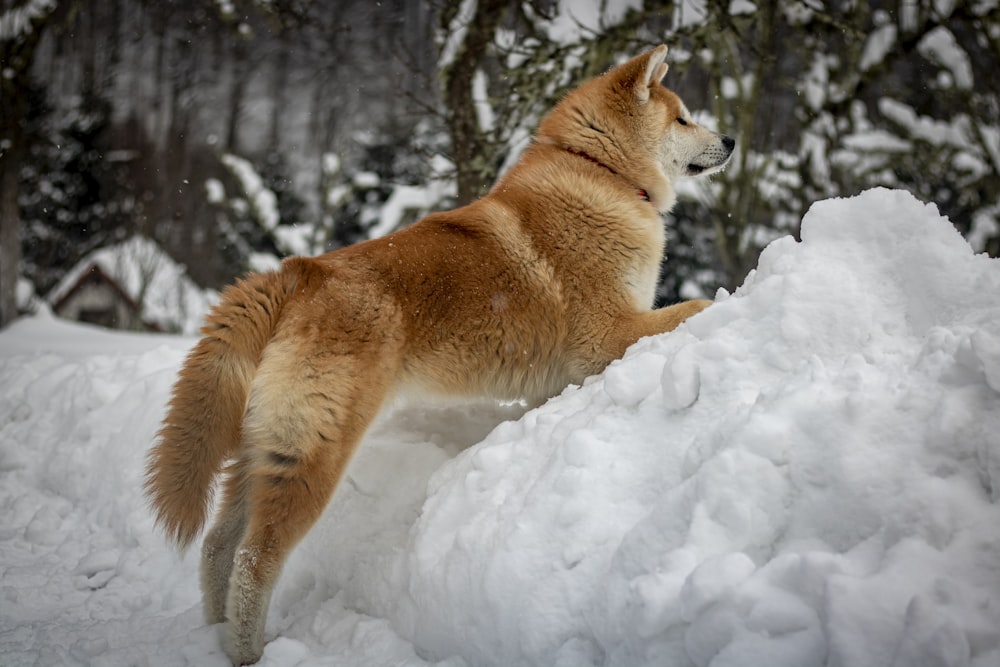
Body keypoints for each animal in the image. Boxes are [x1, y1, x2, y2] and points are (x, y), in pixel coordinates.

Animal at [143, 44, 736, 664]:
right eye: (683, 119)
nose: (732, 140)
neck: (602, 173)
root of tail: (299, 273)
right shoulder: (608, 335)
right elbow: (693, 306)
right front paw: (729, 296)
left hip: (262, 450)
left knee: (218, 547)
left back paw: (214, 637)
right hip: (312, 453)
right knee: (256, 558)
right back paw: (249, 652)